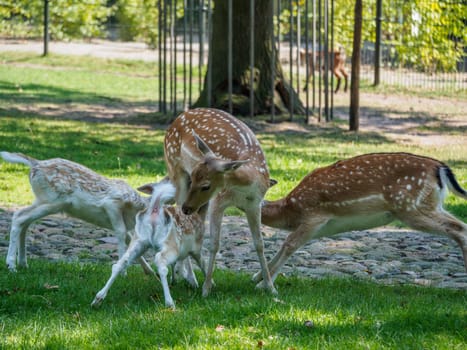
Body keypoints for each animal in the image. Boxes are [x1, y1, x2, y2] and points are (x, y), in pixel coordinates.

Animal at [0, 150, 153, 274]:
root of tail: (35, 164)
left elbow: (130, 239)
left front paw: (150, 272)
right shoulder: (111, 204)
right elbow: (121, 233)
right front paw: (123, 272)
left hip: (42, 199)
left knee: (25, 221)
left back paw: (23, 263)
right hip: (53, 200)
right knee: (19, 216)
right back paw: (11, 265)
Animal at [93, 180, 207, 308]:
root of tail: (155, 209)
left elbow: (177, 265)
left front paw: (177, 280)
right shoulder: (196, 247)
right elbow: (202, 264)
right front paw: (204, 284)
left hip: (139, 240)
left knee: (121, 262)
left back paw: (98, 299)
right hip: (170, 243)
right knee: (161, 262)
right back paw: (170, 302)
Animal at [164, 108, 278, 296]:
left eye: (206, 185)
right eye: (194, 176)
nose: (187, 207)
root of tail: (178, 118)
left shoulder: (254, 204)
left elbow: (259, 244)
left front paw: (271, 288)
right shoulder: (218, 201)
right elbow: (215, 244)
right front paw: (206, 288)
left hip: (199, 201)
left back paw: (184, 275)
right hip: (175, 171)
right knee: (181, 219)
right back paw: (192, 279)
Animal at [254, 152, 467, 284]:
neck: (289, 211)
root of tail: (440, 168)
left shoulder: (314, 216)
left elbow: (289, 244)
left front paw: (262, 285)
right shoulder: (319, 228)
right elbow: (289, 244)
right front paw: (257, 277)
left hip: (410, 207)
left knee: (457, 228)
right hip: (430, 203)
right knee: (460, 226)